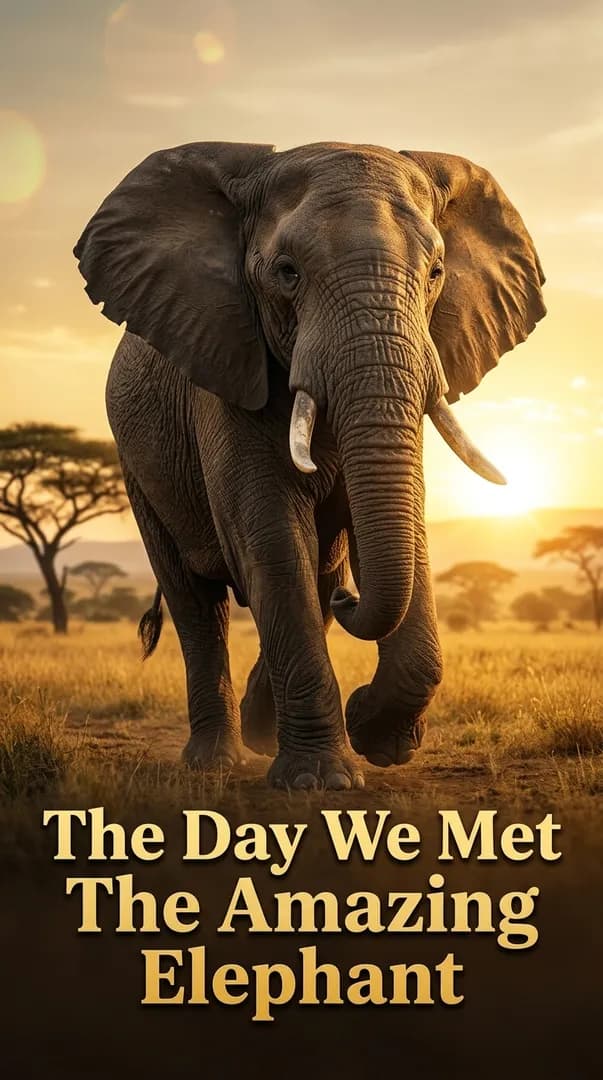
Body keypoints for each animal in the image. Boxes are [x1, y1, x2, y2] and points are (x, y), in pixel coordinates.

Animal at [74, 140, 545, 790]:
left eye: (435, 274)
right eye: (287, 273)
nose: (354, 599)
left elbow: (403, 528)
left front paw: (377, 737)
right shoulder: (226, 367)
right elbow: (272, 537)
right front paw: (323, 780)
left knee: (316, 577)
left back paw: (261, 729)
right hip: (134, 462)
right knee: (198, 603)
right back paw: (217, 758)